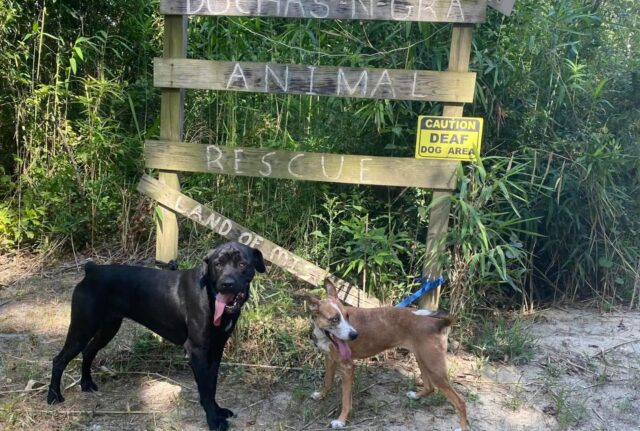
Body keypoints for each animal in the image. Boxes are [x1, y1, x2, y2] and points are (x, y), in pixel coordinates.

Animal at [46, 241, 264, 430]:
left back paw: (86, 384)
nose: (227, 284)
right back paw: (54, 396)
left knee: (89, 351)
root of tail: (92, 270)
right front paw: (214, 420)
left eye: (242, 264)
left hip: (108, 328)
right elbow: (206, 389)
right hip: (82, 328)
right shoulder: (197, 350)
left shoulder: (216, 349)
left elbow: (212, 385)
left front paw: (218, 411)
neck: (209, 293)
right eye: (217, 264)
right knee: (59, 359)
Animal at [304, 278, 464, 430]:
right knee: (430, 387)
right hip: (423, 360)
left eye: (347, 316)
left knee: (460, 402)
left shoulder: (347, 367)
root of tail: (438, 323)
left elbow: (345, 400)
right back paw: (416, 395)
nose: (355, 335)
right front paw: (321, 395)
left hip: (434, 368)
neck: (325, 334)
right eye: (334, 319)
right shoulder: (330, 359)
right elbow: (328, 382)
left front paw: (341, 421)